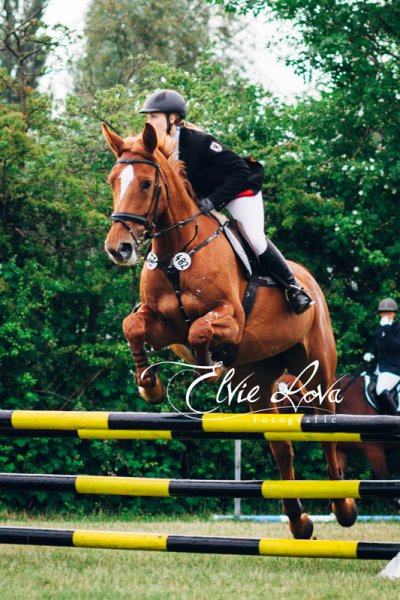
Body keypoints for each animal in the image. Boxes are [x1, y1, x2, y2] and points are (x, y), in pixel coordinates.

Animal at [102, 122, 357, 539]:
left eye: (145, 183)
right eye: (112, 181)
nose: (118, 248)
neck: (176, 250)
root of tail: (310, 280)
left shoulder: (230, 321)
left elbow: (200, 332)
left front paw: (207, 367)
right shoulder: (163, 326)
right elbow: (133, 325)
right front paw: (149, 384)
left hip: (317, 364)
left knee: (326, 426)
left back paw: (344, 507)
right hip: (260, 378)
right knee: (281, 445)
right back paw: (299, 521)